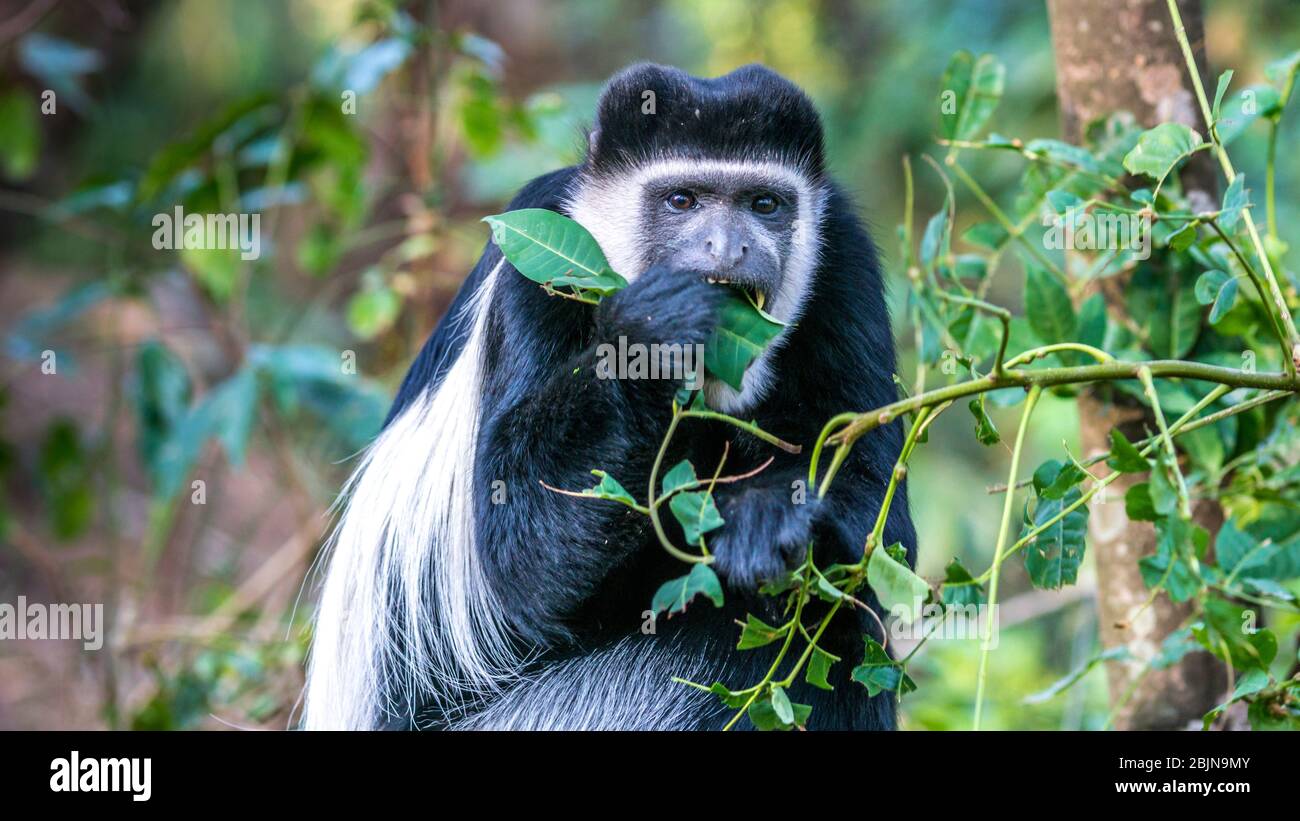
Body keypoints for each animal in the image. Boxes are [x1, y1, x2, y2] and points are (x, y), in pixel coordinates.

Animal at [302, 64, 915, 732]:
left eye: (764, 204)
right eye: (682, 200)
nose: (729, 249)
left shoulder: (844, 255)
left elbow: (879, 518)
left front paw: (769, 517)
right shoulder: (536, 276)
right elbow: (522, 557)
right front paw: (654, 328)